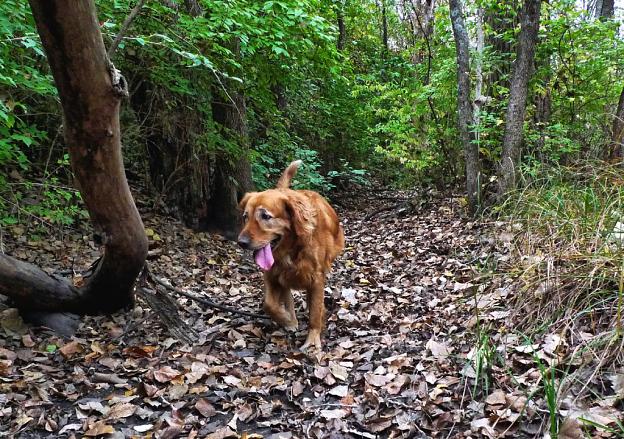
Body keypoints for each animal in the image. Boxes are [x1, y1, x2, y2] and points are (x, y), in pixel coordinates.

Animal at [239, 162, 346, 350]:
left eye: (265, 216)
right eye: (246, 216)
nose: (241, 242)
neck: (290, 250)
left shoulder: (316, 277)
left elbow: (315, 312)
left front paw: (313, 340)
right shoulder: (272, 275)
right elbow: (269, 304)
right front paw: (286, 320)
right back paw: (292, 318)